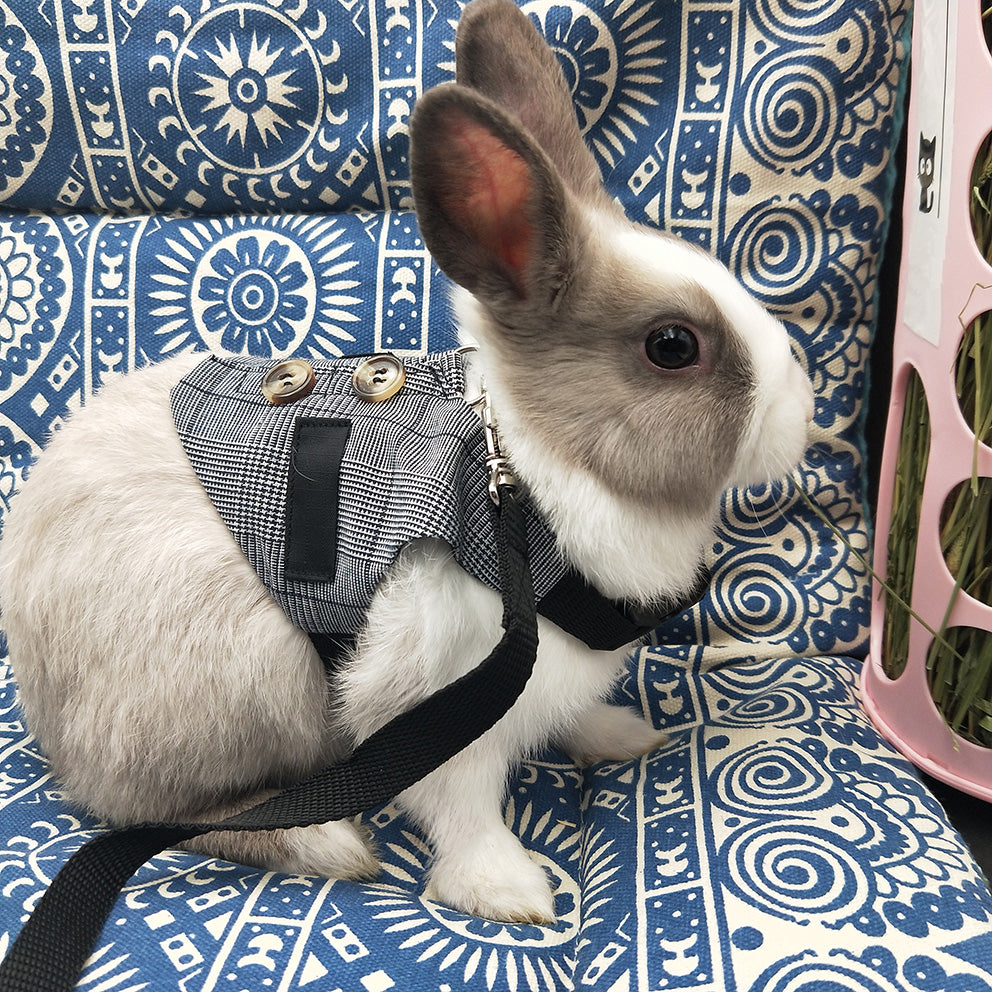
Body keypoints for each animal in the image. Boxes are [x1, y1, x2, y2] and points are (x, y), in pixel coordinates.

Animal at [0, 0, 814, 925]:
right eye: (672, 346)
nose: (803, 411)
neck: (521, 482)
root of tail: (39, 697)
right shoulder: (435, 703)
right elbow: (463, 808)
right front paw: (508, 891)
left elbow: (571, 719)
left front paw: (618, 737)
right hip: (247, 686)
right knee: (154, 813)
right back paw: (327, 843)